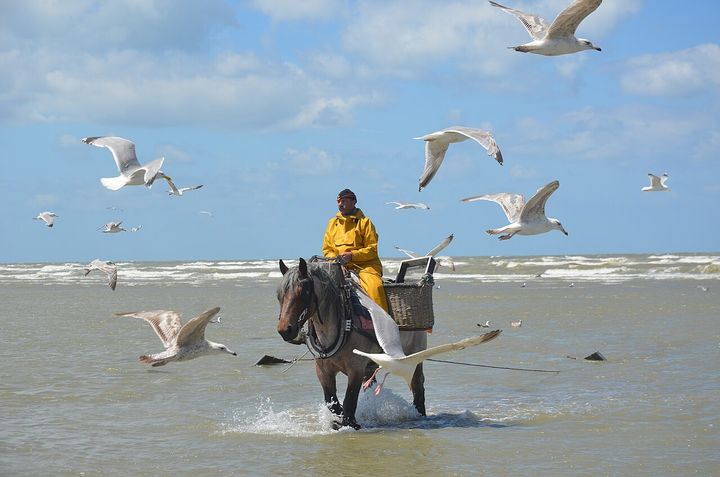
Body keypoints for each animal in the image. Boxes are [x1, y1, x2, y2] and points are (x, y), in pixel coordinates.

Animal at [276, 257, 427, 429]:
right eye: (279, 295)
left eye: (303, 292)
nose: (285, 330)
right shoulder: (323, 371)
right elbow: (332, 403)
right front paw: (338, 420)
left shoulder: (355, 369)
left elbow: (349, 402)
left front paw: (350, 424)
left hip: (414, 357)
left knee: (418, 386)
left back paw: (420, 414)